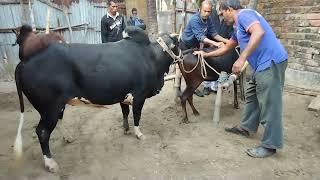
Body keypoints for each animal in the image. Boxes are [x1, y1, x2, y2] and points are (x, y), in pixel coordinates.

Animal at [13, 26, 180, 172]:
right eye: (178, 44)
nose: (182, 56)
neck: (150, 56)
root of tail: (24, 62)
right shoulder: (139, 96)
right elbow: (137, 116)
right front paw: (139, 134)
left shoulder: (123, 95)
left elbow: (125, 113)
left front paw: (126, 129)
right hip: (49, 108)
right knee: (42, 132)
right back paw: (50, 163)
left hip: (57, 106)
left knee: (57, 122)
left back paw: (68, 138)